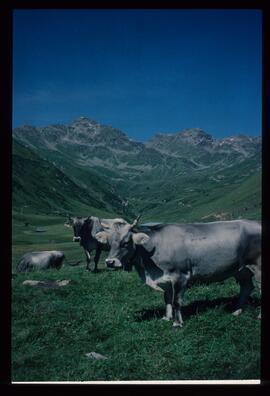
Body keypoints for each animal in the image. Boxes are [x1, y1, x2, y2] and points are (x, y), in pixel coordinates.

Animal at [95, 218, 262, 326]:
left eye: (126, 242)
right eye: (109, 242)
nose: (110, 262)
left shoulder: (180, 276)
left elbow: (176, 301)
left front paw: (177, 323)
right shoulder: (166, 279)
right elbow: (167, 299)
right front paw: (166, 318)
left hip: (258, 267)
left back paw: (259, 316)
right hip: (242, 270)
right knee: (247, 287)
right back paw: (237, 311)